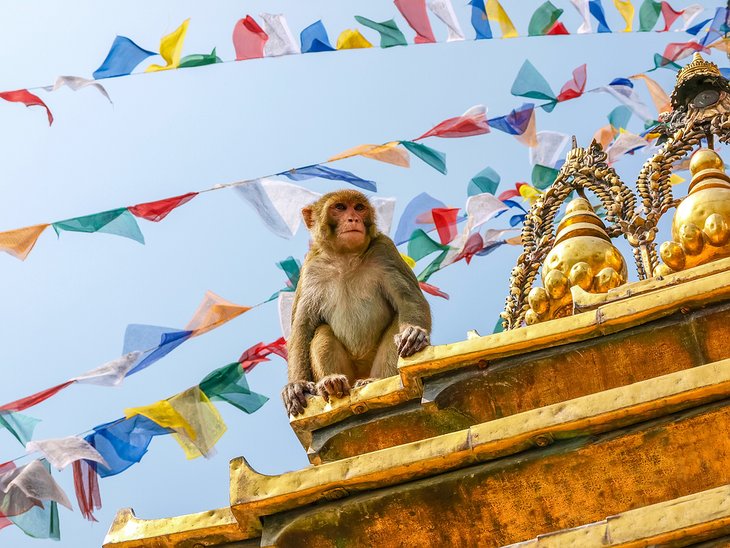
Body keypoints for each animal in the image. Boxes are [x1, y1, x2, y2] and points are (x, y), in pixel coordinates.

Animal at [282, 189, 430, 416]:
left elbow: (408, 299)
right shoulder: (311, 269)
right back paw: (332, 383)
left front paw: (414, 333)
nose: (353, 219)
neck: (345, 257)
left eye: (359, 208)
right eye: (340, 207)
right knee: (322, 331)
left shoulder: (385, 250)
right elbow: (302, 327)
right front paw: (296, 385)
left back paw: (373, 380)